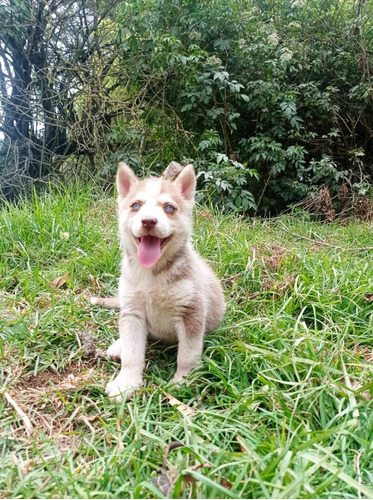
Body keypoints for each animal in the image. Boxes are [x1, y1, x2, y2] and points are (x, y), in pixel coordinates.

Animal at [91, 164, 225, 402]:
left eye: (169, 208)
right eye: (136, 205)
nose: (148, 221)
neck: (152, 274)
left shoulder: (191, 312)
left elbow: (188, 355)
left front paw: (183, 381)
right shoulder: (133, 311)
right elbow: (132, 353)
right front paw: (126, 383)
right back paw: (119, 345)